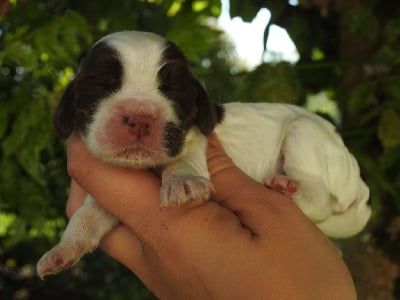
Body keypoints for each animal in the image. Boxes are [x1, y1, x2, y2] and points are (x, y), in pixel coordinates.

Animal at [36, 30, 370, 278]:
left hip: (305, 133)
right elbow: (87, 216)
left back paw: (287, 187)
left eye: (173, 90)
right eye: (101, 84)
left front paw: (182, 181)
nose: (140, 119)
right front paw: (61, 251)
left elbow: (183, 161)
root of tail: (359, 184)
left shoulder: (195, 142)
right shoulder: (106, 199)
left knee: (319, 198)